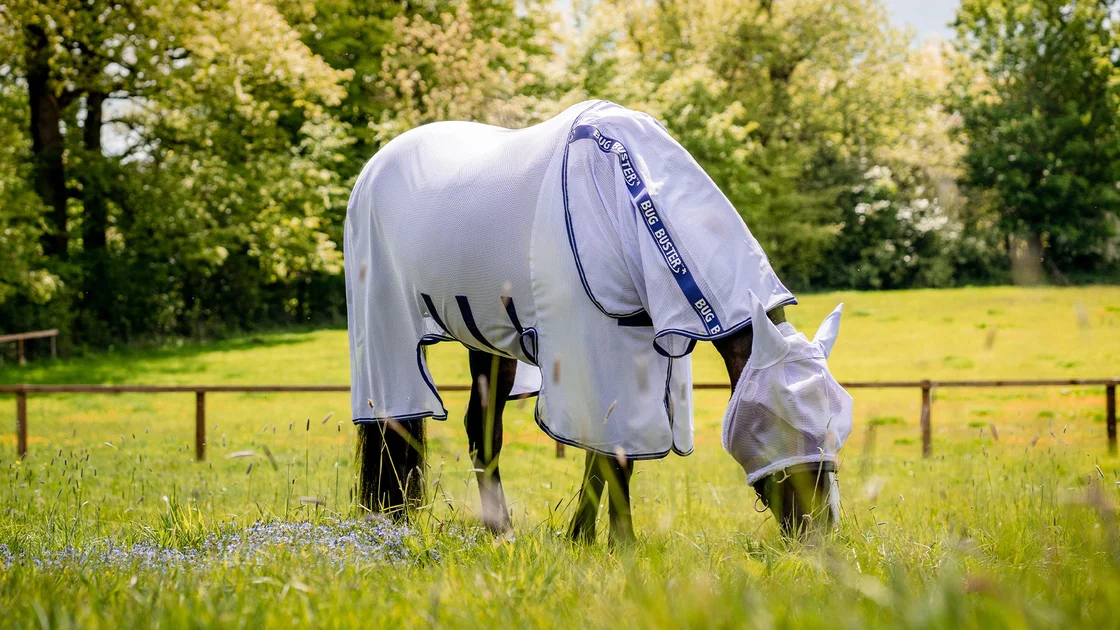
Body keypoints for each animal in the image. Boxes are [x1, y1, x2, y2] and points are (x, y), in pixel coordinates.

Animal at [344, 100, 853, 541]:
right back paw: (400, 525)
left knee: (481, 431)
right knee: (394, 425)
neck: (621, 197)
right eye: (779, 418)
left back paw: (498, 532)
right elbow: (616, 456)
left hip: (486, 342)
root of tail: (374, 166)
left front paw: (582, 540)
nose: (819, 534)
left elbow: (605, 451)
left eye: (840, 417)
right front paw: (621, 547)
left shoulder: (636, 350)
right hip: (388, 338)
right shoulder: (592, 347)